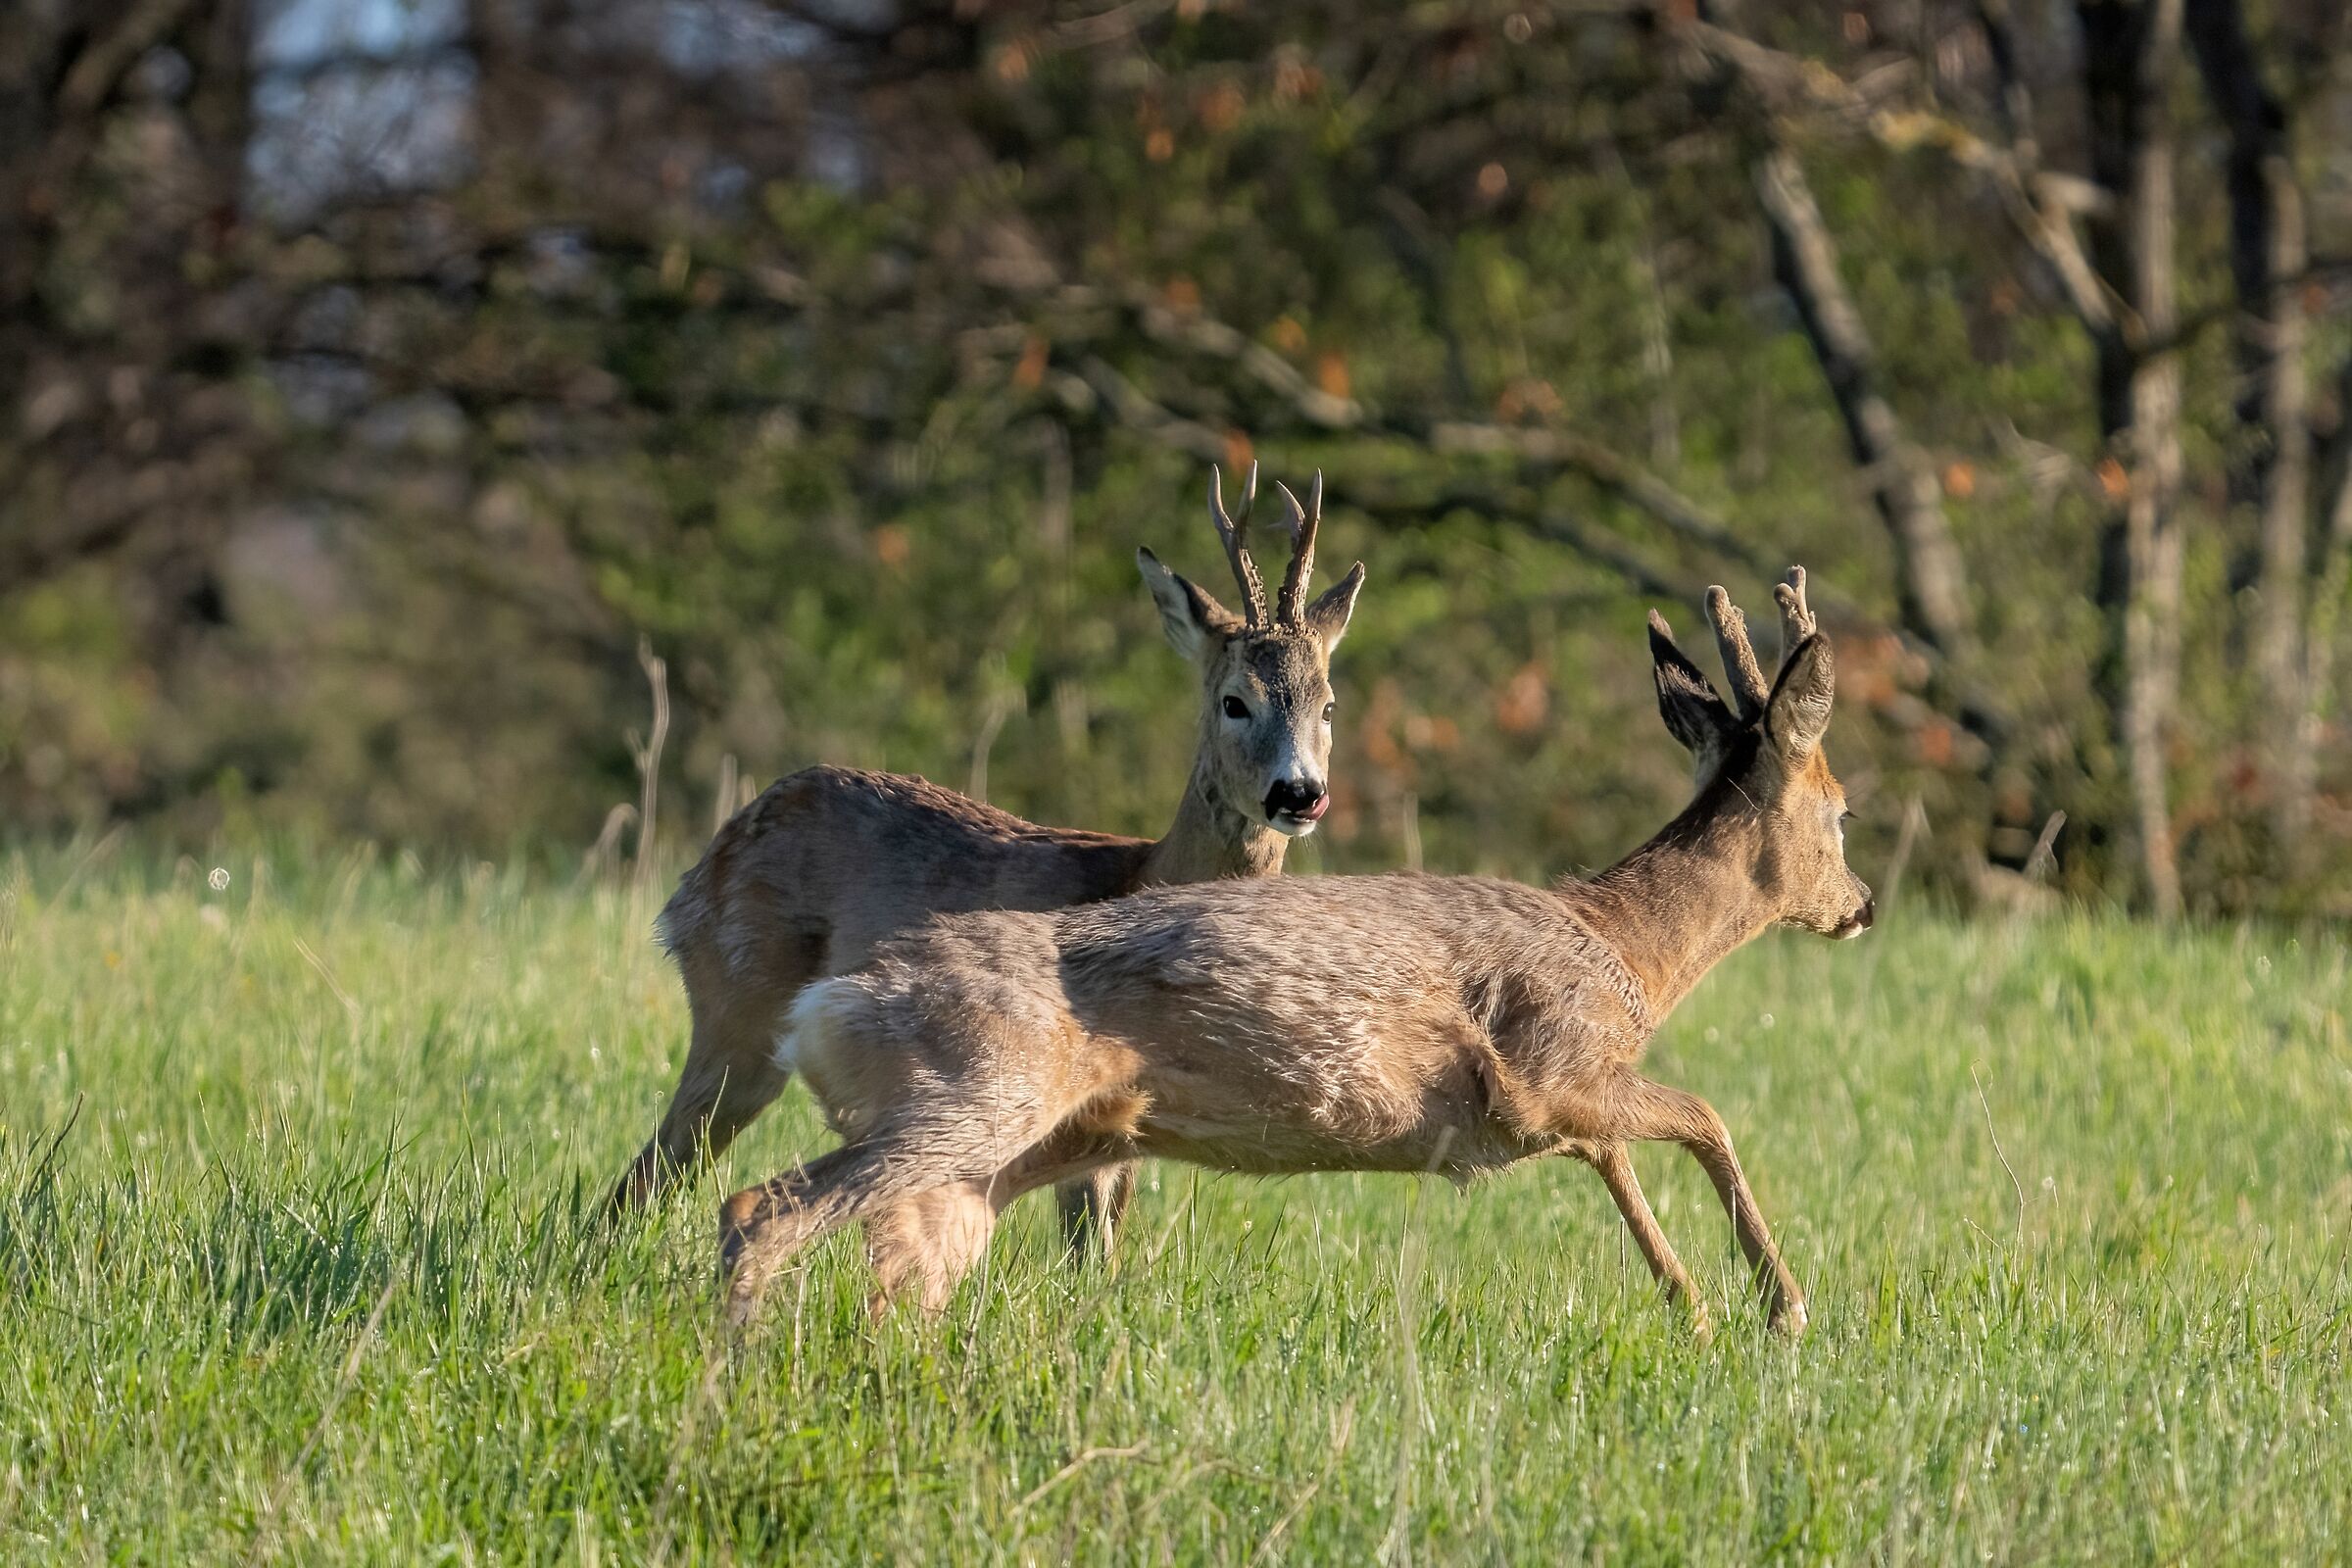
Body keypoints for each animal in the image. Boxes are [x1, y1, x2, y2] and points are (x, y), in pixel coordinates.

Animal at [609, 465, 1367, 1261]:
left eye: (1328, 705)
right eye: (1234, 701)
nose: (1300, 793)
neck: (1144, 873)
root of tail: (698, 875)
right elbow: (1084, 1242)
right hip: (739, 1000)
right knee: (651, 1170)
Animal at [713, 569, 1870, 1337]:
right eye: (1844, 810)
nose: (1861, 905)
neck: (1625, 947)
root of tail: (831, 1004)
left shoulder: (1557, 1106)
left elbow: (1625, 1156)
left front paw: (1695, 1302)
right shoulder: (1551, 1070)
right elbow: (1705, 1118)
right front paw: (1779, 1304)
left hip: (1019, 1146)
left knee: (877, 1256)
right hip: (969, 1092)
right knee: (759, 1207)